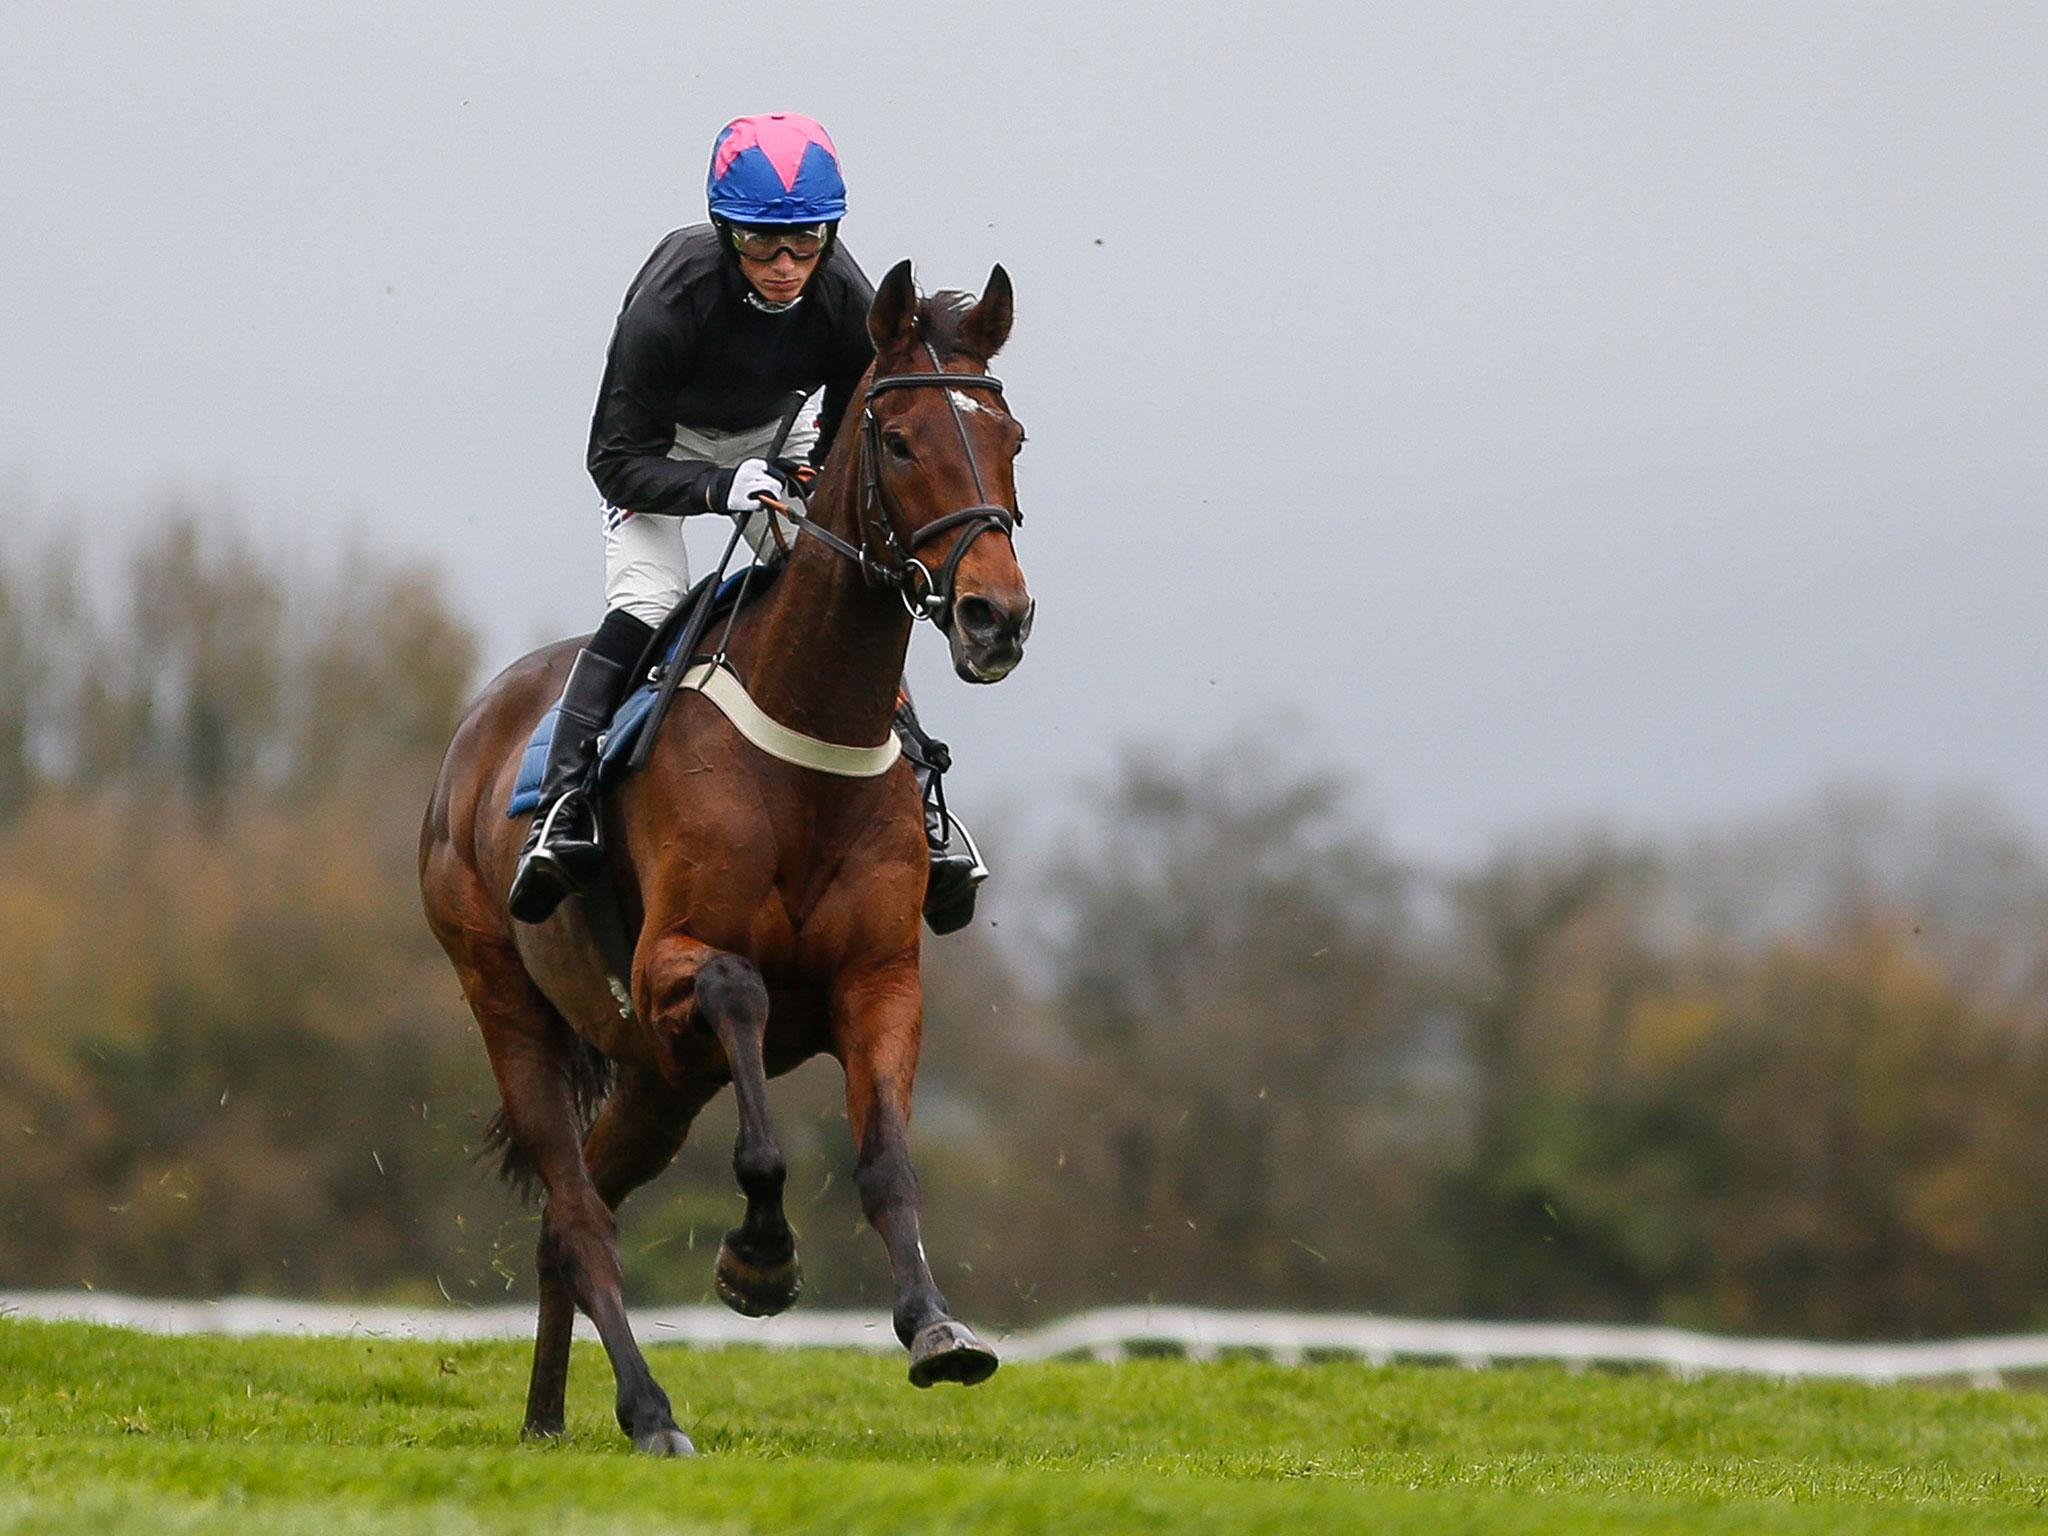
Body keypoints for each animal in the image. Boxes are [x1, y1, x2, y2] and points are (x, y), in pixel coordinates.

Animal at [415, 256, 1032, 1458]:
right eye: (899, 443)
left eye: (1014, 436)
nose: (998, 617)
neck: (807, 734)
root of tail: (471, 739)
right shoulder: (675, 967)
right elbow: (744, 1003)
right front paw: (758, 1257)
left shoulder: (879, 978)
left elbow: (888, 1159)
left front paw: (935, 1326)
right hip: (511, 1005)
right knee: (576, 1209)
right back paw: (650, 1410)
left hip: (659, 1077)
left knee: (575, 1218)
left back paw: (551, 1417)